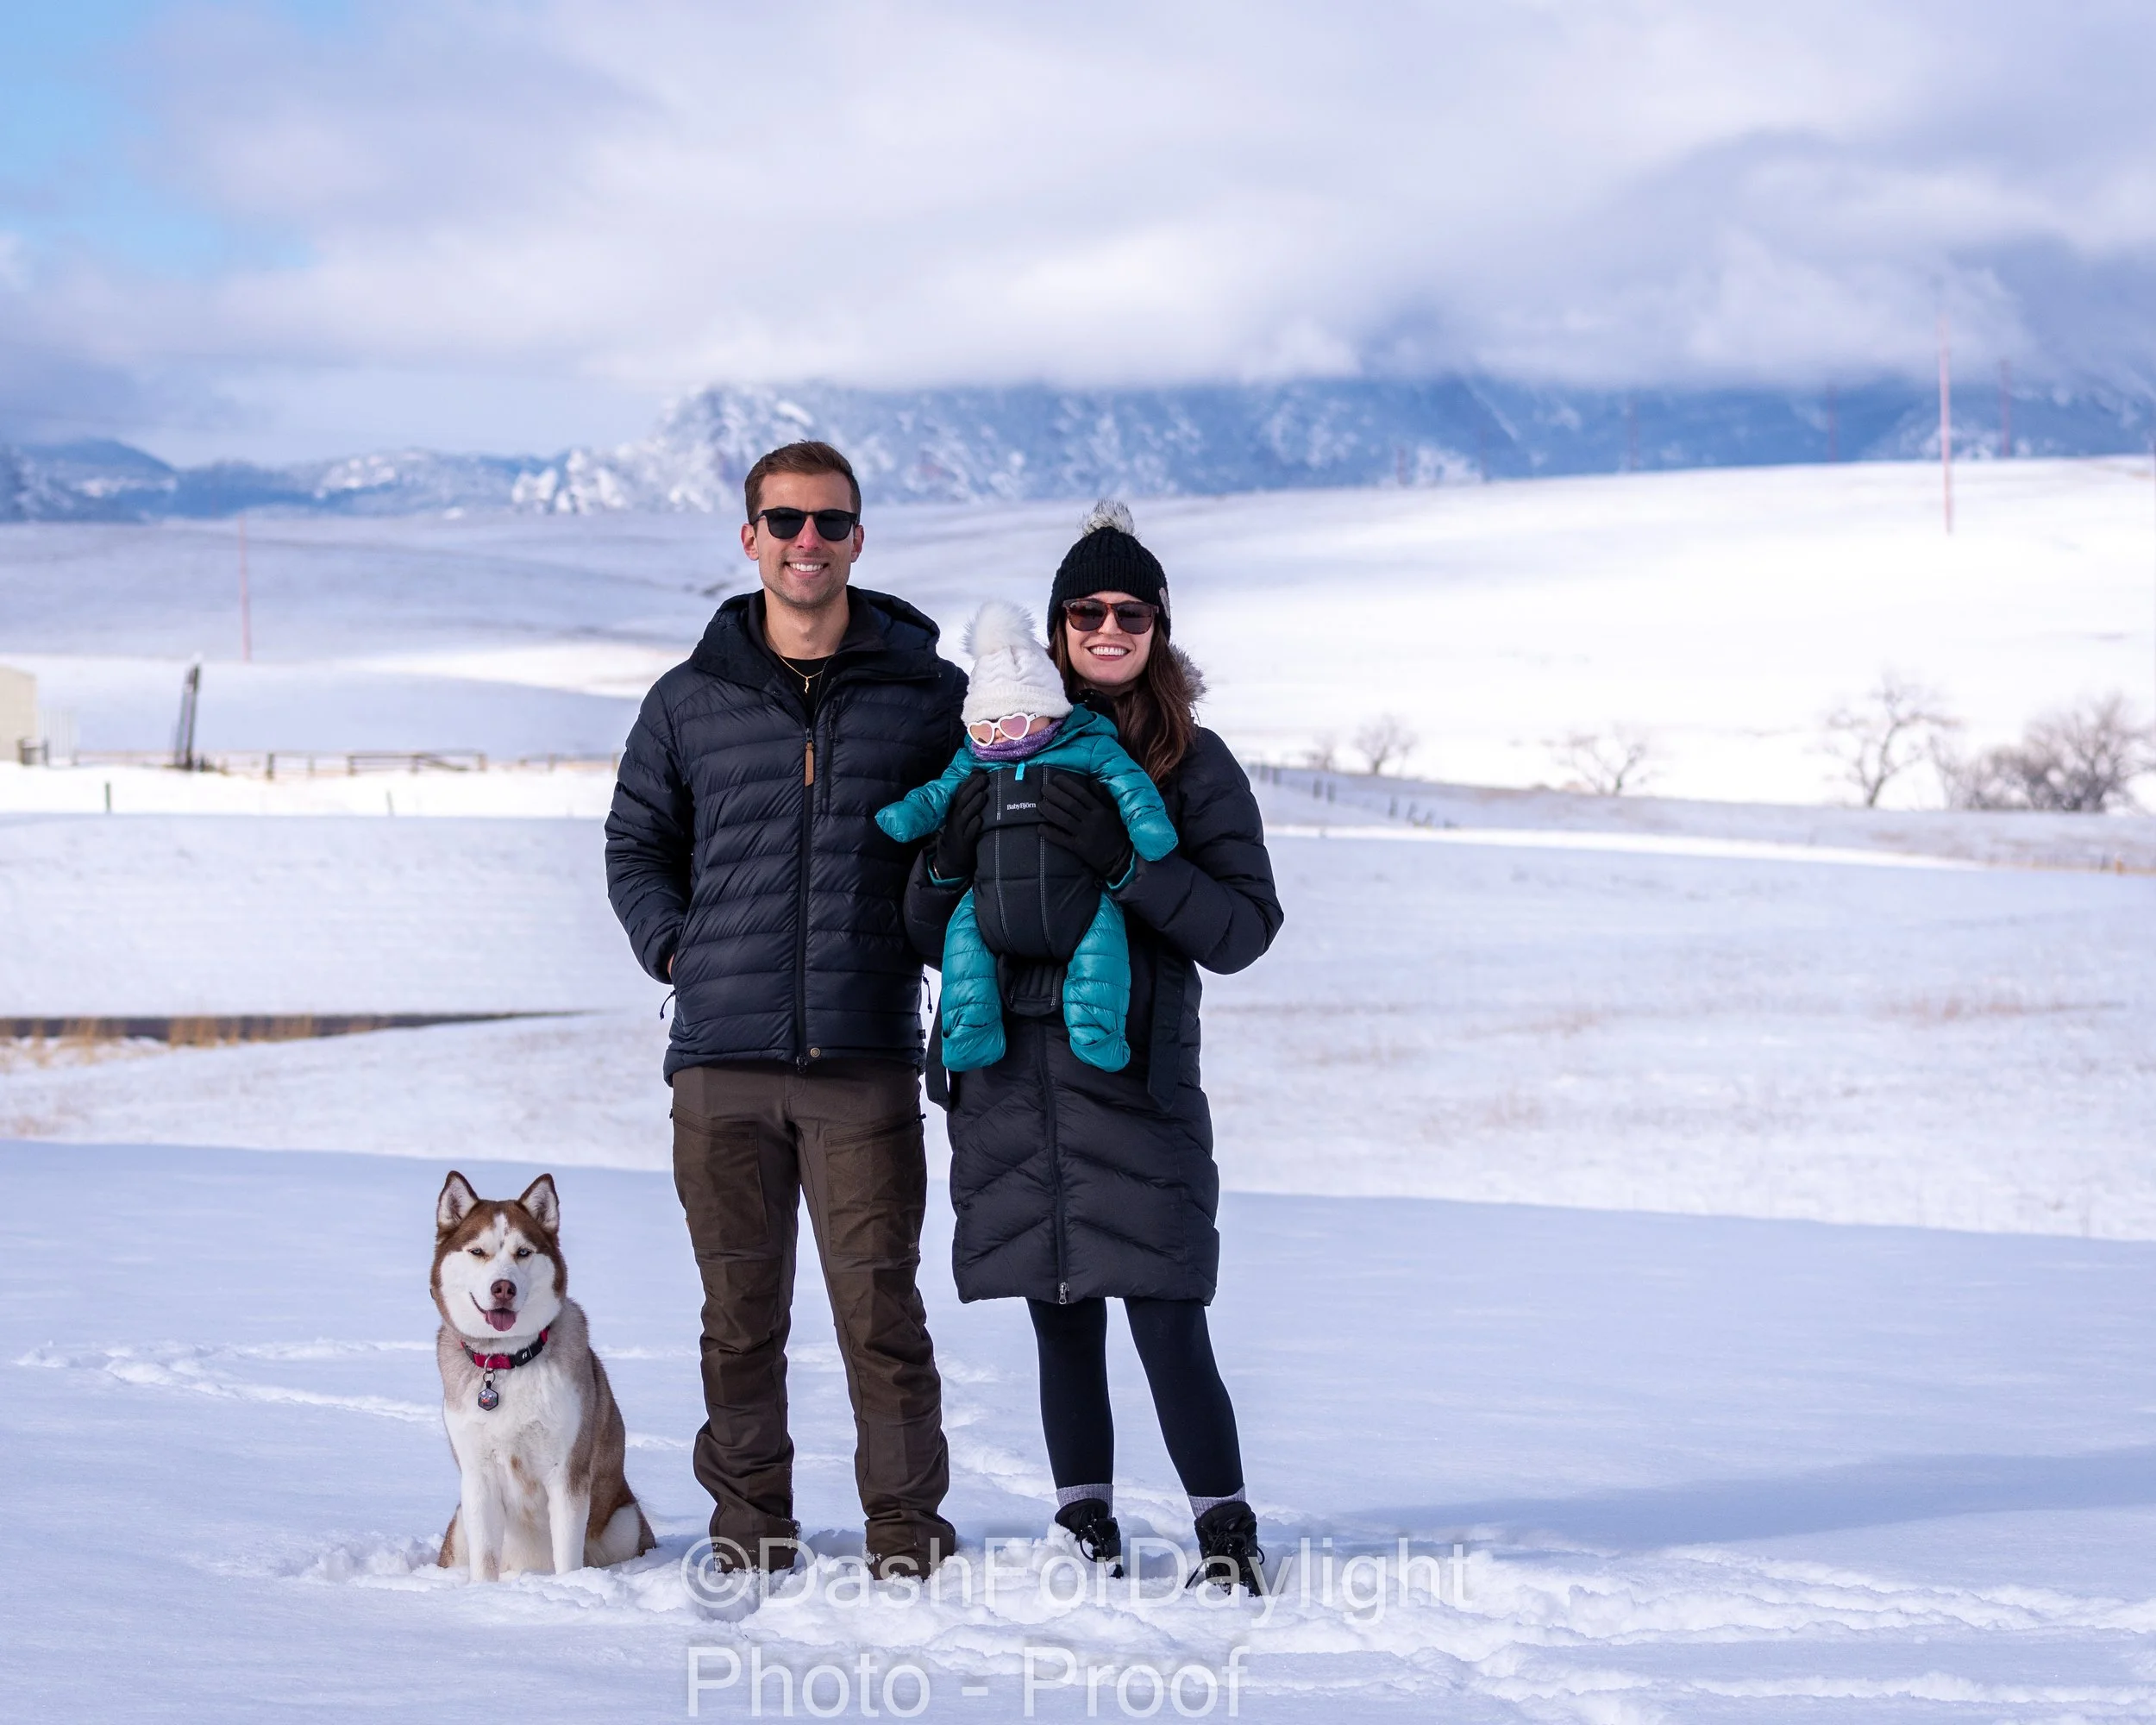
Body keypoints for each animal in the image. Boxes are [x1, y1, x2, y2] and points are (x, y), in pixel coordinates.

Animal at [431, 1170, 655, 1580]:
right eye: (477, 1252)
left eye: (523, 1252)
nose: (503, 1287)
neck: (507, 1361)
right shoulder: (477, 1477)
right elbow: (485, 1560)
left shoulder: (567, 1472)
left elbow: (567, 1555)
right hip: (459, 1530)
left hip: (625, 1522)